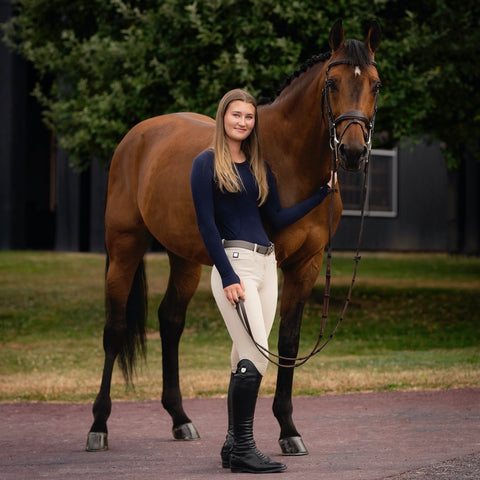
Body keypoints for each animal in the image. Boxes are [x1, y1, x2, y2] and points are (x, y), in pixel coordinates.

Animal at [85, 18, 378, 454]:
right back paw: (99, 425)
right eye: (332, 83)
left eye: (376, 84)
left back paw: (180, 419)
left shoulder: (306, 265)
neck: (291, 161)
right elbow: (253, 343)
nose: (354, 152)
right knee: (115, 329)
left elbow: (288, 343)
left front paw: (288, 429)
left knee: (170, 320)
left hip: (185, 257)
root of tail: (137, 136)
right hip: (124, 246)